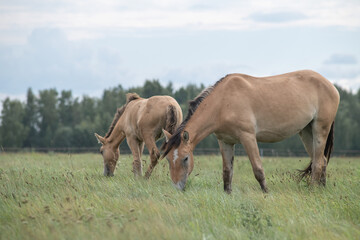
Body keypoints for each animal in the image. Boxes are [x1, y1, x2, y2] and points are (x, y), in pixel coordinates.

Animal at [162, 70, 338, 193]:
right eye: (169, 159)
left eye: (185, 158)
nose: (177, 187)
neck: (223, 102)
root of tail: (330, 85)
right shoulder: (225, 141)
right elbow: (227, 172)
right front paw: (227, 194)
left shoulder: (248, 137)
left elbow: (258, 169)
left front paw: (267, 193)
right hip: (306, 132)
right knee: (321, 160)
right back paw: (321, 190)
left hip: (320, 129)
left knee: (318, 163)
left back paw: (313, 191)